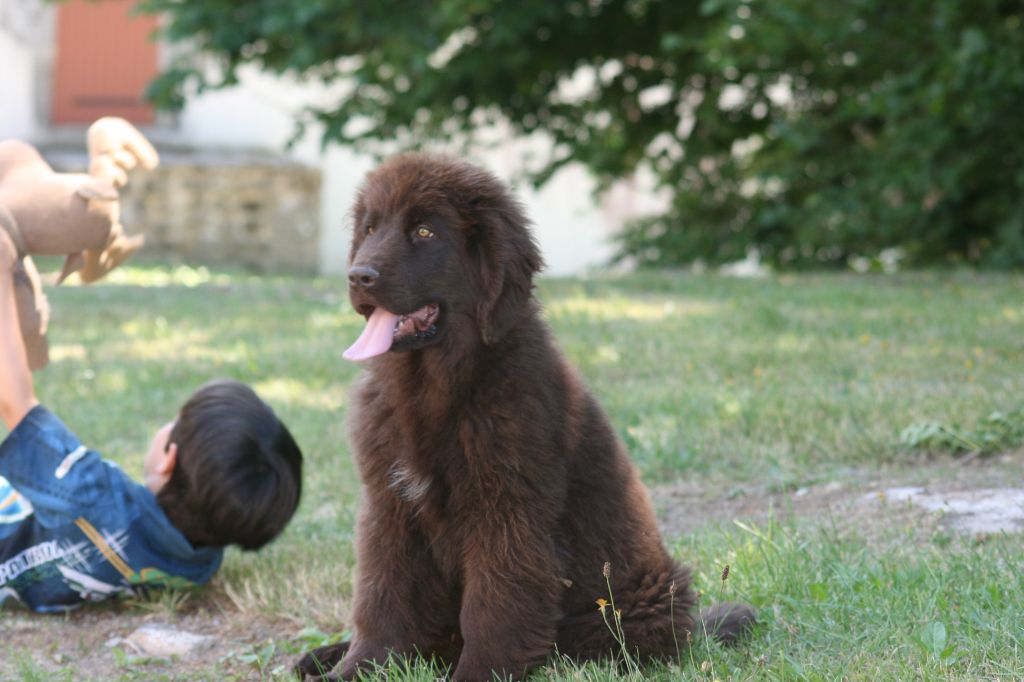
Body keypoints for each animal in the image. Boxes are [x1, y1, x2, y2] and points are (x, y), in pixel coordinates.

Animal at [299, 155, 753, 679]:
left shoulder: (506, 509)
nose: (359, 276)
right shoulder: (388, 505)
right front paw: (358, 665)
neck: (436, 384)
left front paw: (478, 673)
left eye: (425, 232)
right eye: (370, 228)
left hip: (632, 600)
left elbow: (493, 604)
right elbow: (382, 594)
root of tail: (691, 628)